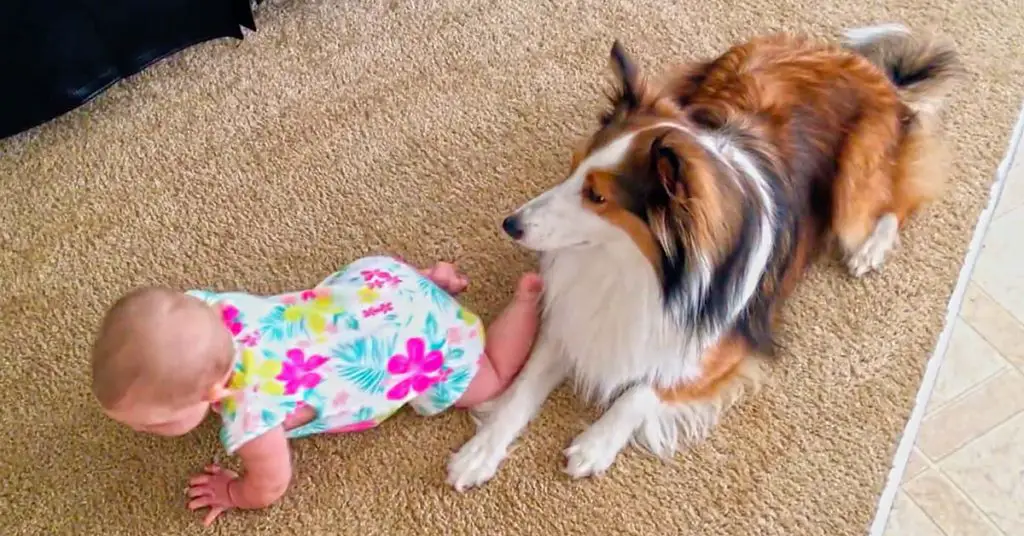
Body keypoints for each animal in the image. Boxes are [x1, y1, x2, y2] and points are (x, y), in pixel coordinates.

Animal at [444, 23, 962, 489]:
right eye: (572, 170)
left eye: (597, 197)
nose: (511, 224)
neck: (639, 270)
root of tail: (863, 67)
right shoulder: (574, 317)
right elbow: (521, 390)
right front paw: (480, 452)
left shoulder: (721, 345)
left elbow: (643, 390)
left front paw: (595, 443)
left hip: (851, 197)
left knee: (902, 196)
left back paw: (871, 249)